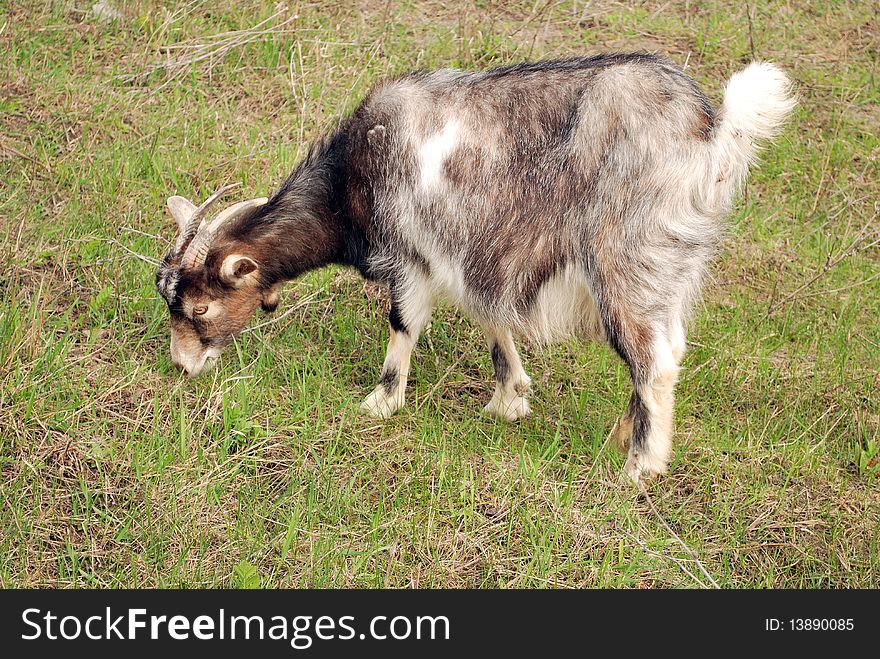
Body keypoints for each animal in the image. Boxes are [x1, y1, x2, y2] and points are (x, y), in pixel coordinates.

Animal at [155, 54, 796, 482]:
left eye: (202, 306)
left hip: (627, 258)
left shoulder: (413, 254)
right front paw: (511, 397)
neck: (348, 184)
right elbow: (491, 317)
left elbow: (403, 323)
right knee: (670, 346)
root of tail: (714, 134)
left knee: (653, 358)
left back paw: (641, 466)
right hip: (669, 264)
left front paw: (381, 402)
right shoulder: (470, 254)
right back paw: (626, 433)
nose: (183, 367)